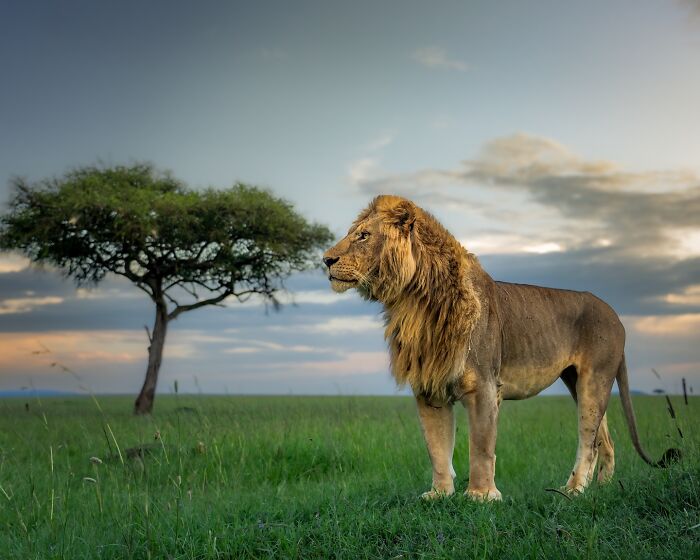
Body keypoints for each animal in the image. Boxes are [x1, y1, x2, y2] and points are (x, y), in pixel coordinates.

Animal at [322, 195, 679, 500]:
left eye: (363, 236)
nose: (325, 260)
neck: (414, 302)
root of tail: (615, 314)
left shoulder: (483, 385)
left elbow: (480, 446)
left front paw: (481, 496)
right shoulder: (429, 388)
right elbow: (437, 447)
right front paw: (439, 494)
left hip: (596, 378)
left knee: (588, 440)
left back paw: (572, 491)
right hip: (576, 381)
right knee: (604, 438)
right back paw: (601, 489)